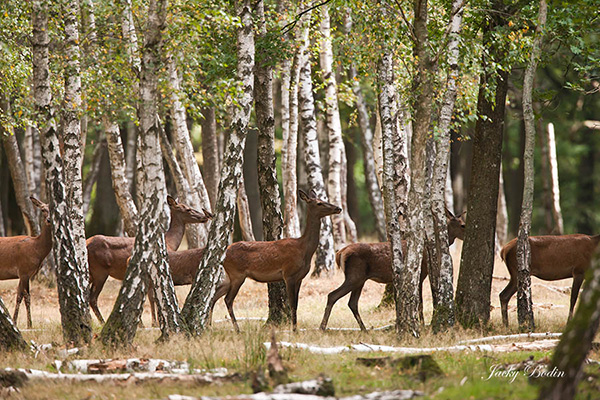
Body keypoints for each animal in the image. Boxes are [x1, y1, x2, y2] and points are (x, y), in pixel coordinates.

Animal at [0, 197, 51, 328]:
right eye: (43, 209)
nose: (49, 220)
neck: (37, 249)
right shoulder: (24, 270)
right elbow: (27, 298)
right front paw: (30, 325)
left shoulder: (23, 273)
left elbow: (19, 296)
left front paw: (14, 322)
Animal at [86, 195, 211, 324]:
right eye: (187, 209)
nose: (205, 217)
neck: (169, 242)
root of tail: (86, 243)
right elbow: (152, 298)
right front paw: (154, 322)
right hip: (100, 271)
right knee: (92, 298)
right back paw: (102, 322)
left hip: (91, 272)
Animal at [210, 189, 342, 332]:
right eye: (319, 203)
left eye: (324, 199)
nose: (338, 208)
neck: (304, 249)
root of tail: (224, 253)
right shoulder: (288, 274)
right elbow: (292, 304)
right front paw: (294, 330)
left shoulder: (300, 277)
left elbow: (297, 304)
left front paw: (295, 328)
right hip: (237, 274)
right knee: (228, 299)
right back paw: (236, 329)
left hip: (229, 276)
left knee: (213, 296)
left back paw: (208, 325)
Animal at [322, 209, 466, 332]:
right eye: (463, 225)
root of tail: (340, 253)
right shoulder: (419, 275)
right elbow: (420, 303)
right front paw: (421, 324)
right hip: (355, 276)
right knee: (332, 295)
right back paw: (322, 327)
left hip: (360, 279)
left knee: (352, 303)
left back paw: (364, 329)